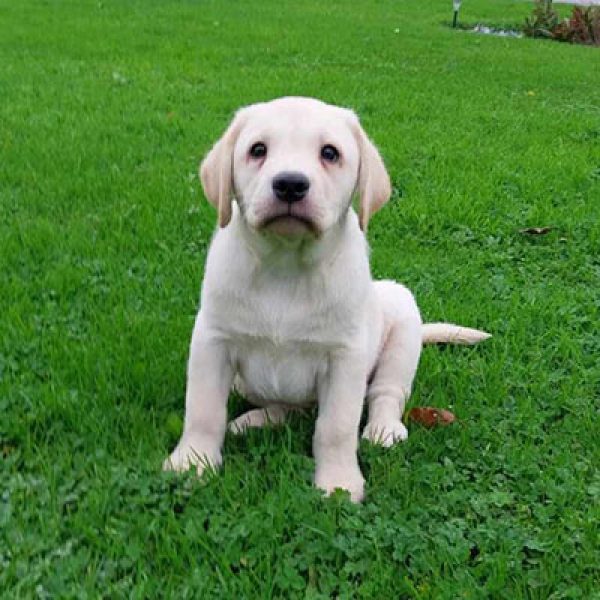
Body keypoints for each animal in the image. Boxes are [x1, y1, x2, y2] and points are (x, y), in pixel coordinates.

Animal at [163, 98, 488, 502]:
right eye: (258, 150)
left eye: (330, 153)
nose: (290, 184)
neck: (285, 265)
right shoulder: (212, 339)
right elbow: (203, 409)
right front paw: (192, 462)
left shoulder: (344, 357)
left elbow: (336, 427)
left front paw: (338, 482)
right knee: (290, 408)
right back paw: (253, 421)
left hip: (401, 319)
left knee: (386, 393)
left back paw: (383, 429)